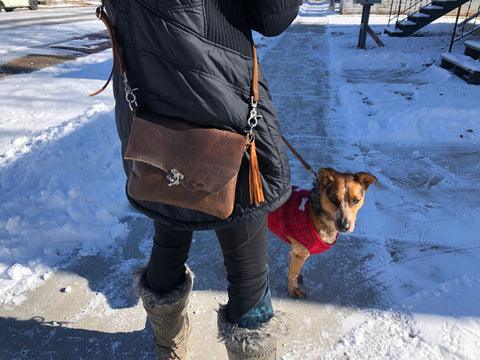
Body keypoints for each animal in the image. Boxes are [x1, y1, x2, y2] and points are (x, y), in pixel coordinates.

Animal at [268, 168, 376, 298]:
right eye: (333, 199)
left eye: (356, 201)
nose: (344, 226)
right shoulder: (300, 252)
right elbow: (294, 272)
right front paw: (294, 289)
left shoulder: (296, 251)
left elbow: (292, 269)